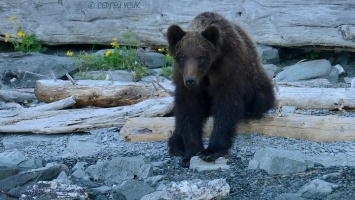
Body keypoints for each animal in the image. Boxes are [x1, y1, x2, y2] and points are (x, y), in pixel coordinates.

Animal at [167, 11, 276, 167]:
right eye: (182, 56)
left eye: (200, 57)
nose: (190, 80)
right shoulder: (183, 79)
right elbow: (188, 110)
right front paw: (190, 152)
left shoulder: (228, 70)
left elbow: (226, 106)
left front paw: (211, 151)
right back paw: (176, 144)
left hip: (256, 85)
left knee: (260, 99)